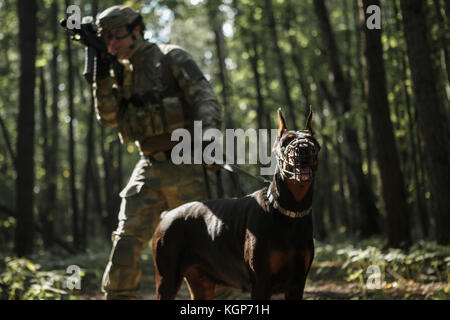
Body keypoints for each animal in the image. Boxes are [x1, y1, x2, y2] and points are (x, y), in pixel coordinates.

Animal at [153, 107, 322, 300]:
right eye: (286, 141)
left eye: (313, 141)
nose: (304, 148)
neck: (290, 210)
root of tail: (167, 215)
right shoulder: (261, 283)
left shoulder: (296, 284)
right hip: (167, 279)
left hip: (201, 283)